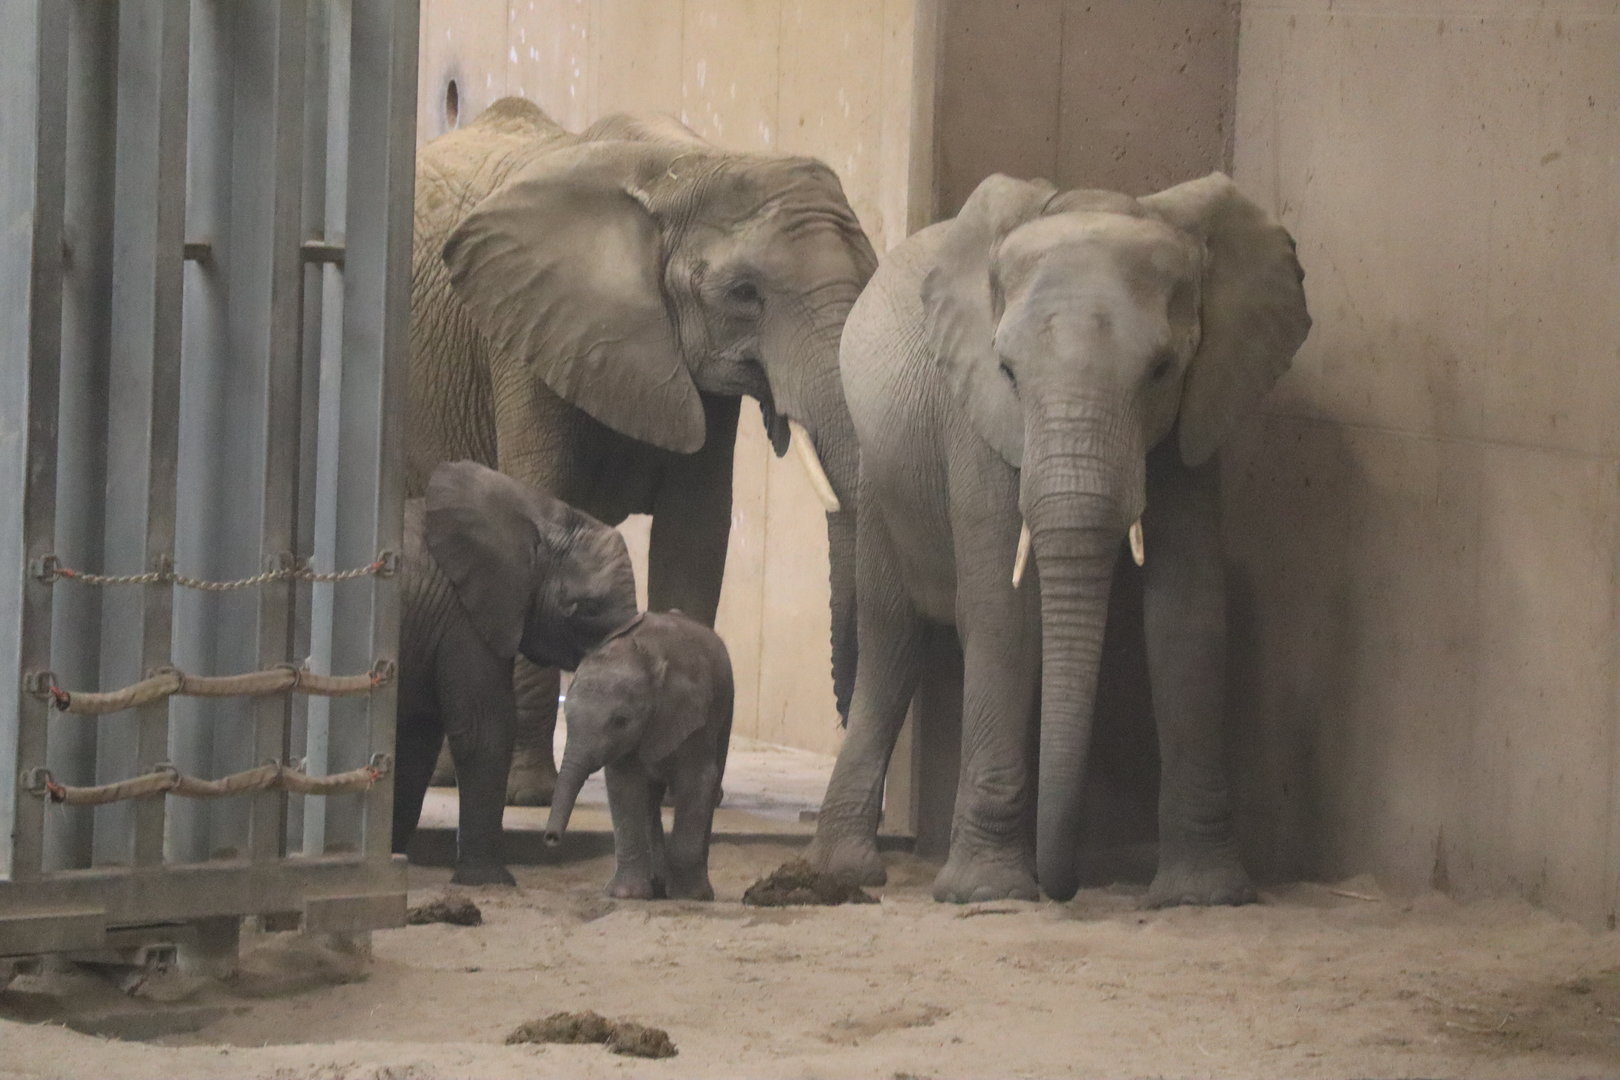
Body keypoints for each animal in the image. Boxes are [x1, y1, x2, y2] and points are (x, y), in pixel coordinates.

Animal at [393, 460, 641, 886]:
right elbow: (483, 727)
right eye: (586, 608)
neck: (537, 514)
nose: (551, 842)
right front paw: (491, 881)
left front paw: (392, 858)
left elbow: (417, 737)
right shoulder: (464, 613)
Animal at [410, 97, 875, 806]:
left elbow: (696, 536)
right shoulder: (525, 336)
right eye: (744, 294)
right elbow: (543, 505)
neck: (687, 166)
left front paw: (681, 790)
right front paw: (527, 794)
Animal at [543, 611, 734, 901]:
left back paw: (694, 892)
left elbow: (696, 782)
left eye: (620, 721)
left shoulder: (693, 719)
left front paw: (688, 896)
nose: (551, 838)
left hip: (725, 708)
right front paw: (626, 895)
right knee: (649, 800)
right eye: (566, 715)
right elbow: (625, 786)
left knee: (711, 784)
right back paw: (658, 885)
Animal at [806, 172, 1311, 905]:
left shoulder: (1197, 419)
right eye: (1009, 372)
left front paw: (1204, 896)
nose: (1062, 889)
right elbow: (1004, 610)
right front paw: (986, 893)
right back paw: (844, 873)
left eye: (1162, 370)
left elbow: (1187, 613)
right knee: (891, 642)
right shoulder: (975, 419)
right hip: (880, 477)